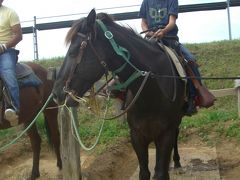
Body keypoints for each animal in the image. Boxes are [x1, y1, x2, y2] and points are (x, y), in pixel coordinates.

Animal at [52, 9, 185, 180]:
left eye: (74, 51)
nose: (56, 93)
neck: (152, 91)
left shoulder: (166, 134)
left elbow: (161, 172)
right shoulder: (136, 136)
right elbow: (144, 172)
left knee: (177, 134)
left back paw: (177, 163)